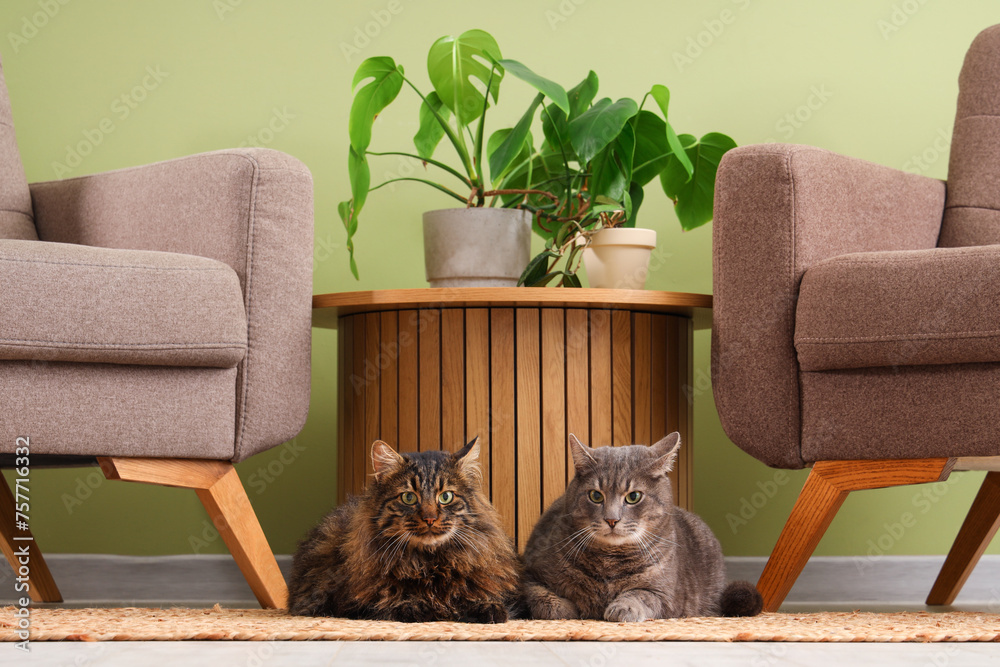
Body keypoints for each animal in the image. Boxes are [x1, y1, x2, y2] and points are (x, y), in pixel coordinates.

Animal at [286, 438, 520, 620]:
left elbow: (478, 600)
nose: (430, 519)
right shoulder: (352, 602)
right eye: (409, 497)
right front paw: (420, 606)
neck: (431, 562)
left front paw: (484, 608)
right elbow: (396, 601)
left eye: (446, 496)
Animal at [520, 434, 760, 620]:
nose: (612, 519)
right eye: (595, 496)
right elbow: (540, 595)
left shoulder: (665, 595)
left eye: (633, 496)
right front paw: (565, 609)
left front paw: (623, 607)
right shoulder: (529, 572)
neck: (609, 561)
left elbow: (641, 594)